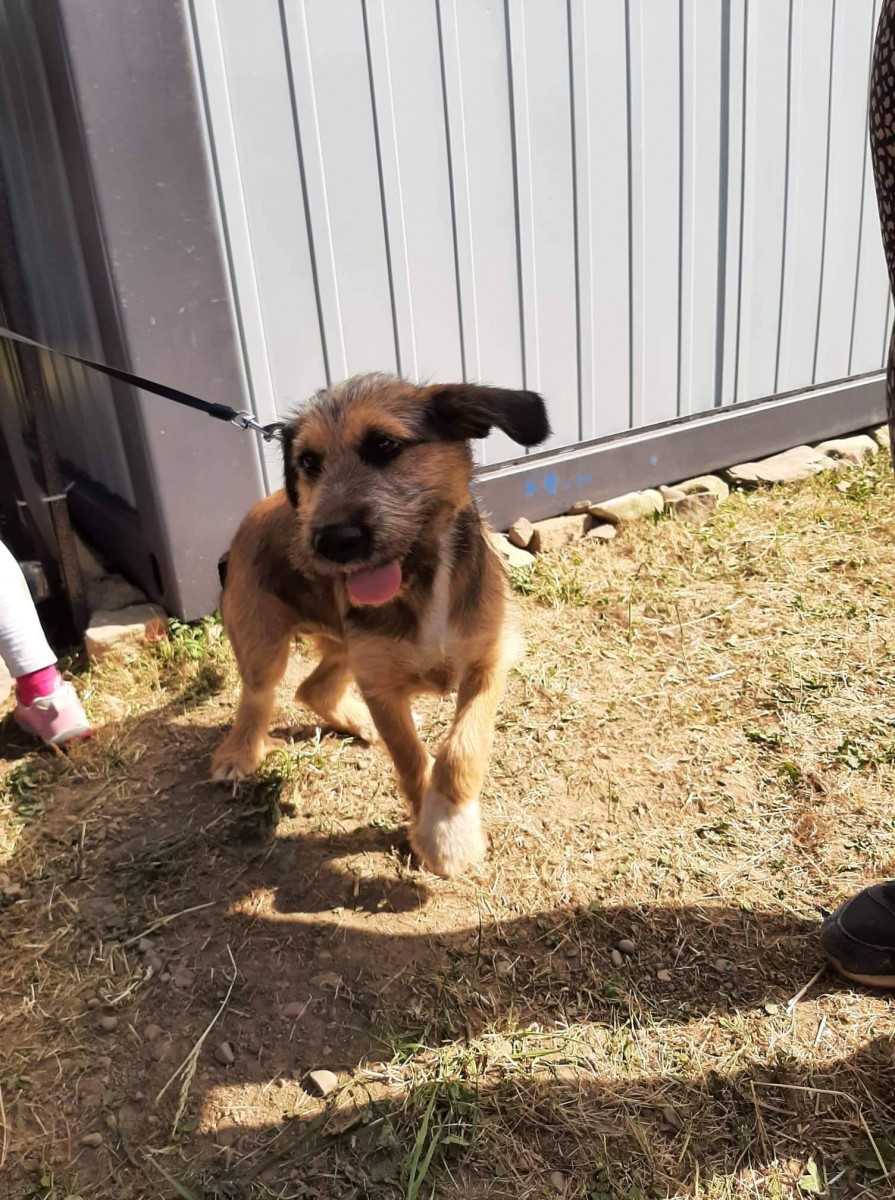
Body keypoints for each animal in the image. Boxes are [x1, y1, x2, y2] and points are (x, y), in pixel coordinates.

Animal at [211, 374, 550, 876]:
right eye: (308, 462)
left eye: (385, 445)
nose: (332, 541)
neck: (422, 582)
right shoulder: (381, 684)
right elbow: (410, 758)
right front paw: (437, 833)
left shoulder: (490, 662)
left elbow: (461, 751)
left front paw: (450, 828)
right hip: (264, 643)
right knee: (258, 698)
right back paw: (238, 754)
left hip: (345, 647)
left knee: (313, 688)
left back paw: (355, 722)